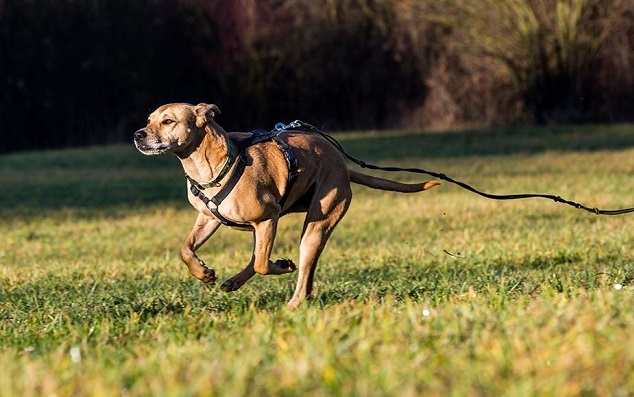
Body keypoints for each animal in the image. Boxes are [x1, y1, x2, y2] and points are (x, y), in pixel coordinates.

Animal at [133, 102, 436, 306]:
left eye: (168, 121)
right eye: (149, 120)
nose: (138, 134)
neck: (209, 164)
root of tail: (342, 166)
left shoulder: (268, 217)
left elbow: (262, 264)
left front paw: (281, 266)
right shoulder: (209, 219)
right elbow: (186, 249)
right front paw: (203, 272)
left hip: (314, 229)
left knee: (294, 274)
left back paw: (291, 303)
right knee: (264, 260)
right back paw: (237, 281)